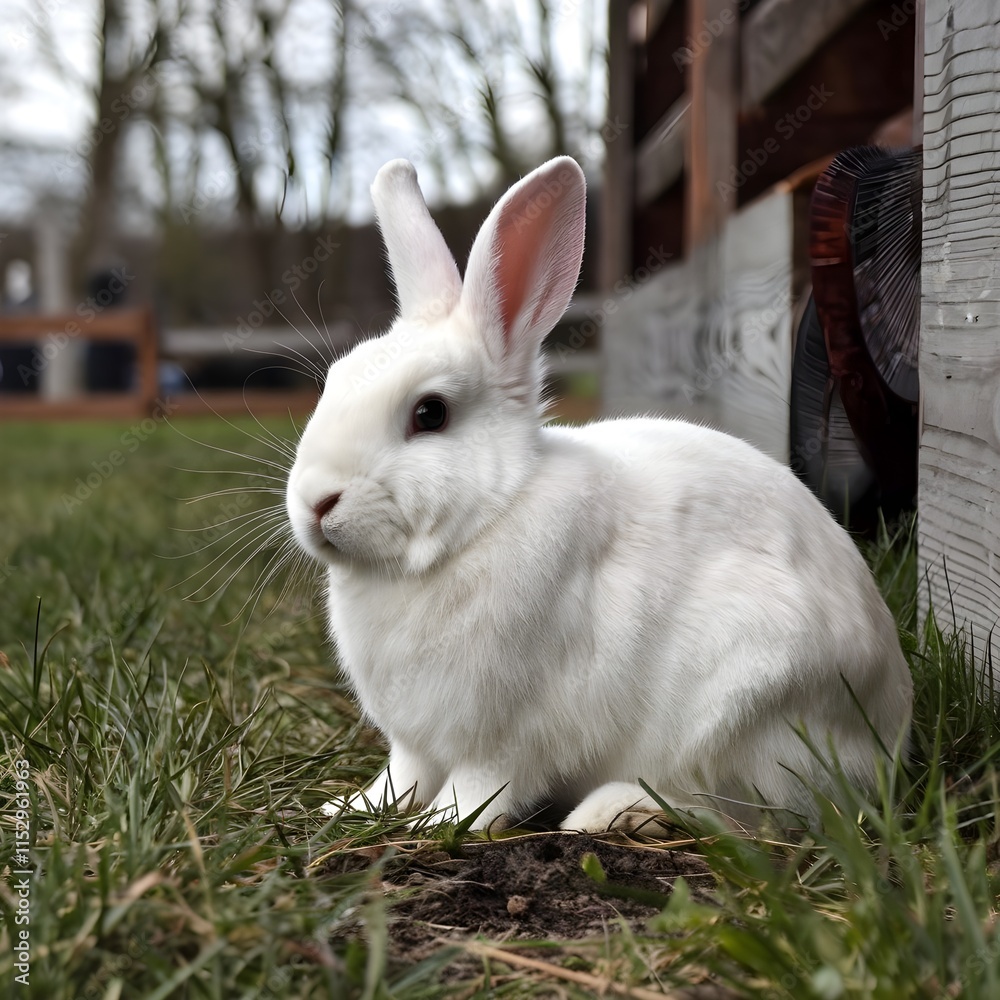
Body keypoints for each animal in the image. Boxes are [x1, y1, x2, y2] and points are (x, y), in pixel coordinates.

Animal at [285, 155, 913, 832]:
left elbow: (480, 787)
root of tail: (886, 746)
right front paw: (350, 808)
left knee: (735, 812)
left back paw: (608, 813)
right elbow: (401, 777)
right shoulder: (415, 743)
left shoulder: (505, 737)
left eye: (430, 413)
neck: (485, 520)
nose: (316, 502)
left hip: (746, 703)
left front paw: (438, 827)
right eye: (335, 380)